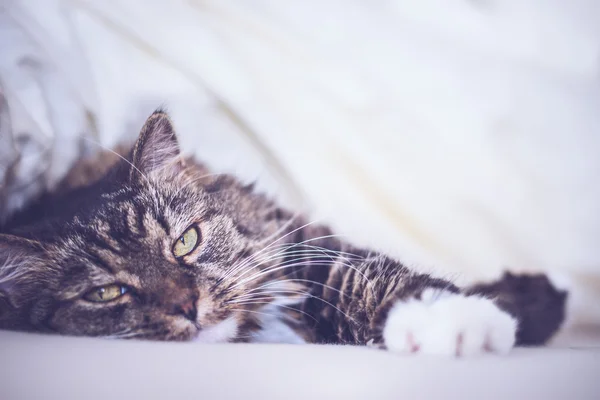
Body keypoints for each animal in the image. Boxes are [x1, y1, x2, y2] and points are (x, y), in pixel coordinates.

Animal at [0, 110, 568, 356]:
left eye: (186, 242)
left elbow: (373, 281)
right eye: (106, 293)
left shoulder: (306, 251)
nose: (188, 305)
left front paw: (459, 319)